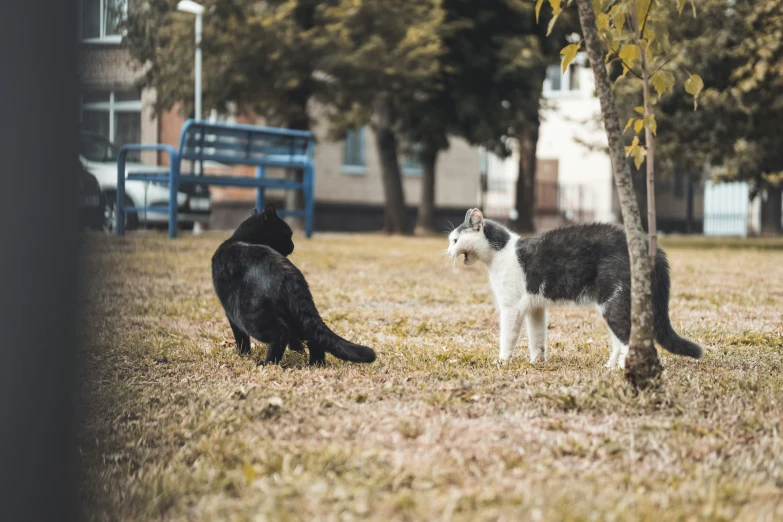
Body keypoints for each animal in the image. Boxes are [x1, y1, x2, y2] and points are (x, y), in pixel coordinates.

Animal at [211, 201, 376, 364]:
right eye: (287, 235)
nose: (293, 246)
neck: (241, 239)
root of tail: (288, 274)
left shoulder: (230, 312)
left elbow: (240, 337)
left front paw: (243, 354)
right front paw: (297, 349)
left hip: (251, 314)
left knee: (280, 333)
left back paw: (269, 363)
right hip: (295, 314)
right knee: (312, 337)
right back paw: (316, 363)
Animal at [448, 207, 704, 366]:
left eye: (455, 240)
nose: (448, 251)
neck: (501, 253)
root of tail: (651, 247)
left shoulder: (512, 308)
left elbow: (507, 338)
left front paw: (502, 361)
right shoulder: (535, 307)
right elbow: (537, 338)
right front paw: (536, 362)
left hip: (615, 302)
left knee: (627, 339)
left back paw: (624, 368)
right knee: (619, 340)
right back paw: (610, 366)